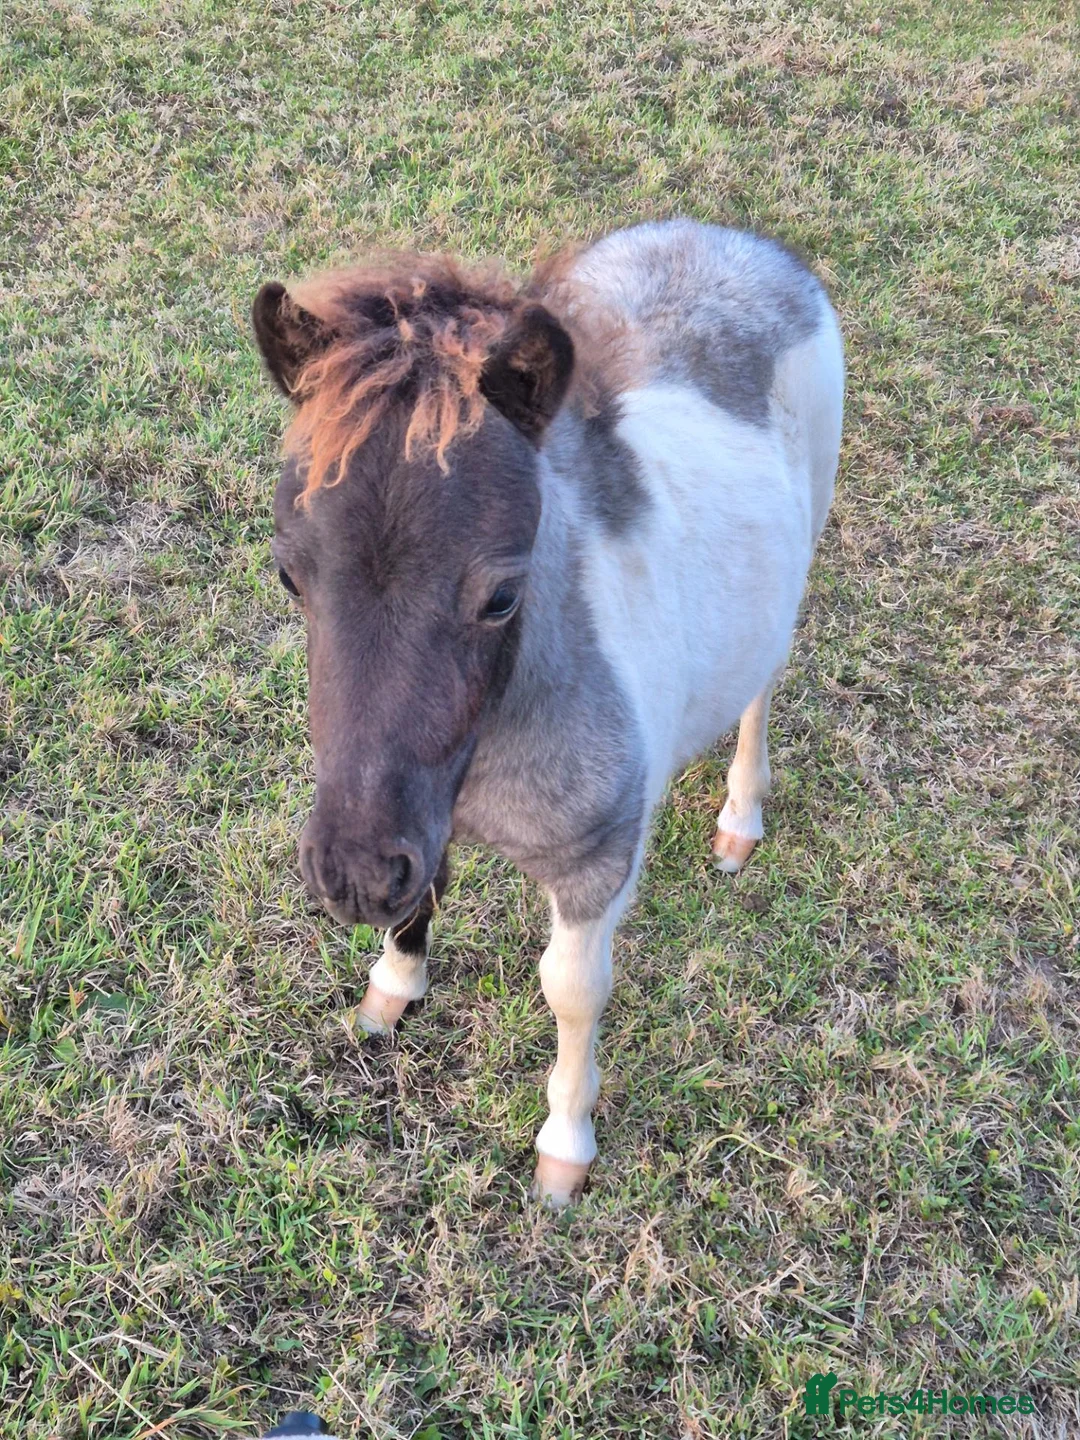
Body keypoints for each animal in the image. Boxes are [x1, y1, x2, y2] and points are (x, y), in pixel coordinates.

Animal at [252, 218, 844, 1207]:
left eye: (500, 597)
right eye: (290, 575)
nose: (354, 877)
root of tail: (734, 240)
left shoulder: (593, 867)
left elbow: (571, 990)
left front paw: (565, 1147)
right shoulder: (421, 810)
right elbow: (427, 890)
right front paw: (391, 988)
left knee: (764, 679)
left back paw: (740, 818)